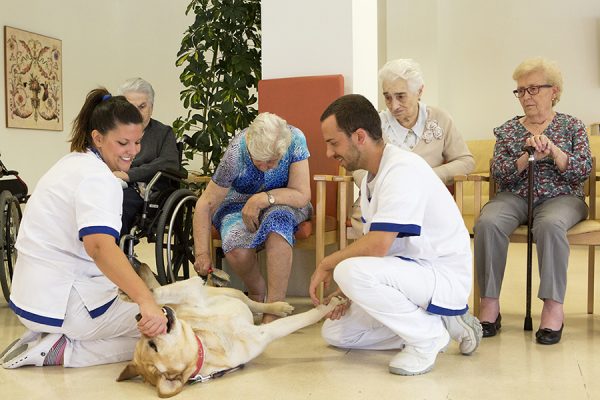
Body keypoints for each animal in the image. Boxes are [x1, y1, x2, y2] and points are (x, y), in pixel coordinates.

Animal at [116, 264, 344, 398]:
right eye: (152, 345)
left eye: (144, 337)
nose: (139, 318)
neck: (207, 340)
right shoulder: (263, 334)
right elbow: (305, 318)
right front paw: (329, 305)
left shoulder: (191, 291)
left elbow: (163, 292)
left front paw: (135, 294)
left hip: (231, 292)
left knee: (255, 303)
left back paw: (278, 307)